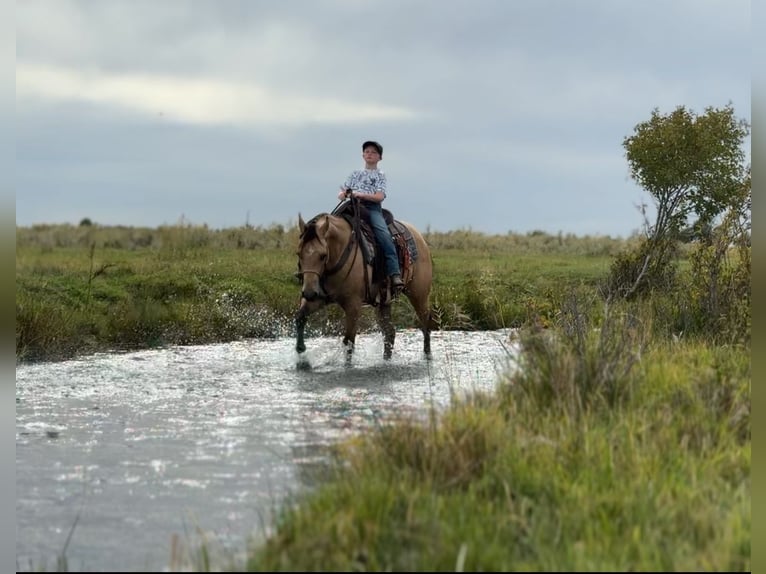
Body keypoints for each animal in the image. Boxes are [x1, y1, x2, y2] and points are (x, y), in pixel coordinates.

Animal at [294, 199, 434, 365]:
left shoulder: (353, 305)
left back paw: (428, 356)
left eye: (322, 255)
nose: (309, 292)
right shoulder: (319, 299)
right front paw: (301, 350)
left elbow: (349, 341)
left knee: (425, 324)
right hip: (384, 301)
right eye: (299, 253)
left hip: (419, 294)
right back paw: (386, 361)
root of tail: (420, 238)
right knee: (390, 333)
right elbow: (300, 317)